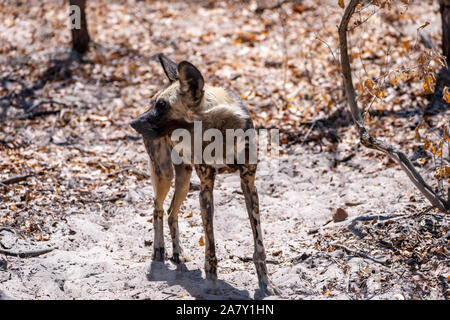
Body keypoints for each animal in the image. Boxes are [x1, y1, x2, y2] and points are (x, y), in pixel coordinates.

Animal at [128, 53, 280, 296]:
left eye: (162, 105)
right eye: (155, 103)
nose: (133, 122)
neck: (221, 132)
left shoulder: (249, 185)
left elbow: (259, 246)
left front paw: (266, 282)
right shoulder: (206, 189)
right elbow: (210, 245)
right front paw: (212, 282)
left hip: (184, 180)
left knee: (171, 212)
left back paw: (177, 253)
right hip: (165, 175)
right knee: (157, 208)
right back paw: (159, 249)